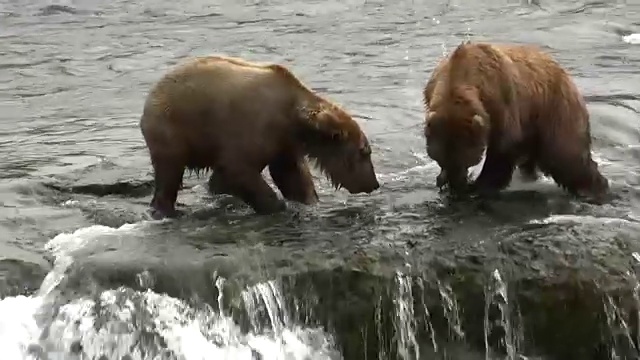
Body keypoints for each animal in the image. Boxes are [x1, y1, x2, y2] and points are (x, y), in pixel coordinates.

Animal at [140, 55, 380, 219]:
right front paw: (277, 206)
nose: (374, 183)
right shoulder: (253, 128)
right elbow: (236, 169)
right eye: (364, 152)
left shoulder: (284, 144)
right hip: (173, 128)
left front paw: (308, 201)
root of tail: (153, 90)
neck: (293, 119)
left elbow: (290, 174)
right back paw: (166, 209)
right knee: (169, 171)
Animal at [422, 41, 608, 202]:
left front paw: (479, 185)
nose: (456, 182)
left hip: (556, 110)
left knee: (566, 154)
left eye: (466, 159)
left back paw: (594, 189)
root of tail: (565, 74)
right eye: (440, 158)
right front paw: (446, 181)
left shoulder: (501, 101)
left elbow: (503, 148)